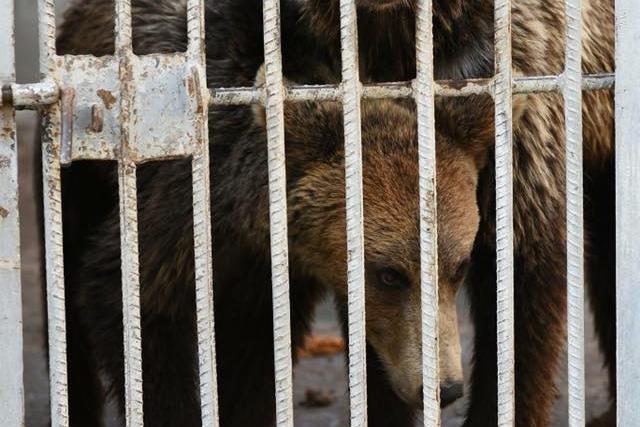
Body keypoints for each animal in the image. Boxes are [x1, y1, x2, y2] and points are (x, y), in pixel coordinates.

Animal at [57, 0, 616, 427]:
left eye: (458, 267)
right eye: (388, 274)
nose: (443, 388)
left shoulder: (521, 102)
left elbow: (523, 285)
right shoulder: (202, 193)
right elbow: (132, 294)